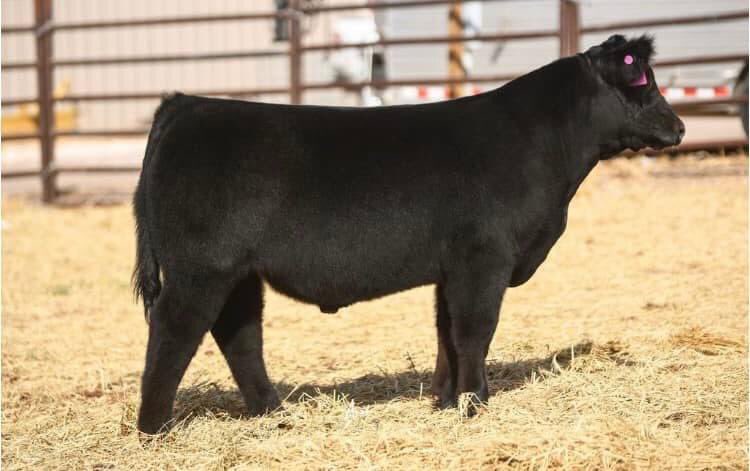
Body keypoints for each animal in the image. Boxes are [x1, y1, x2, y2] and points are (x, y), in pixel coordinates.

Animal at [132, 34, 684, 435]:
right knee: (175, 331)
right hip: (201, 269)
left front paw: (446, 399)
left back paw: (273, 413)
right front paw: (475, 401)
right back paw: (155, 428)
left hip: (240, 274)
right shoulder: (484, 258)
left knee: (240, 335)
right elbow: (475, 330)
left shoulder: (451, 268)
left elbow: (446, 332)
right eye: (642, 84)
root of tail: (186, 105)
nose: (678, 127)